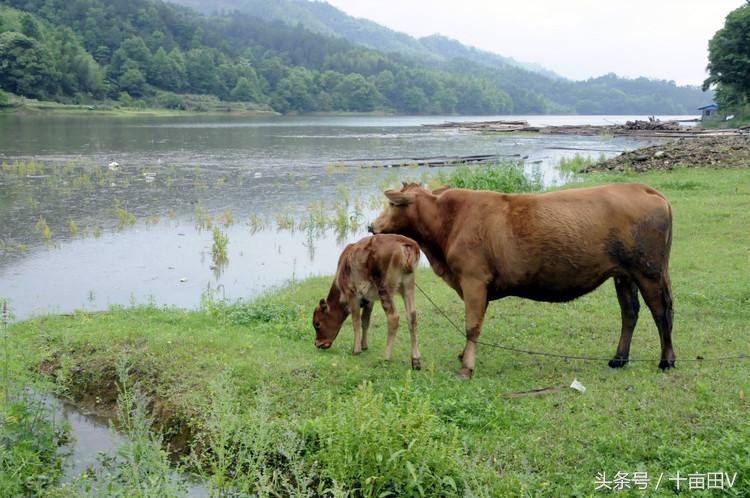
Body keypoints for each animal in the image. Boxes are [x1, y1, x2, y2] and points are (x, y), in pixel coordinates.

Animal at [312, 234, 424, 370]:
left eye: (317, 324)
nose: (317, 343)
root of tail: (405, 242)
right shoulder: (369, 300)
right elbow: (365, 321)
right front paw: (364, 345)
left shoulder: (352, 294)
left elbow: (356, 322)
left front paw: (356, 350)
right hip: (408, 286)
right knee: (411, 317)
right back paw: (416, 360)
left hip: (385, 288)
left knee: (393, 317)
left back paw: (386, 357)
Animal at [370, 181, 676, 380]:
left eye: (392, 203)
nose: (372, 226)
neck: (449, 223)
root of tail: (644, 189)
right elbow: (474, 325)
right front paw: (463, 356)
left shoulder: (473, 279)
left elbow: (471, 325)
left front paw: (466, 368)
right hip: (624, 275)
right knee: (630, 312)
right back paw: (619, 359)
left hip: (648, 271)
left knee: (661, 312)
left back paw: (666, 361)